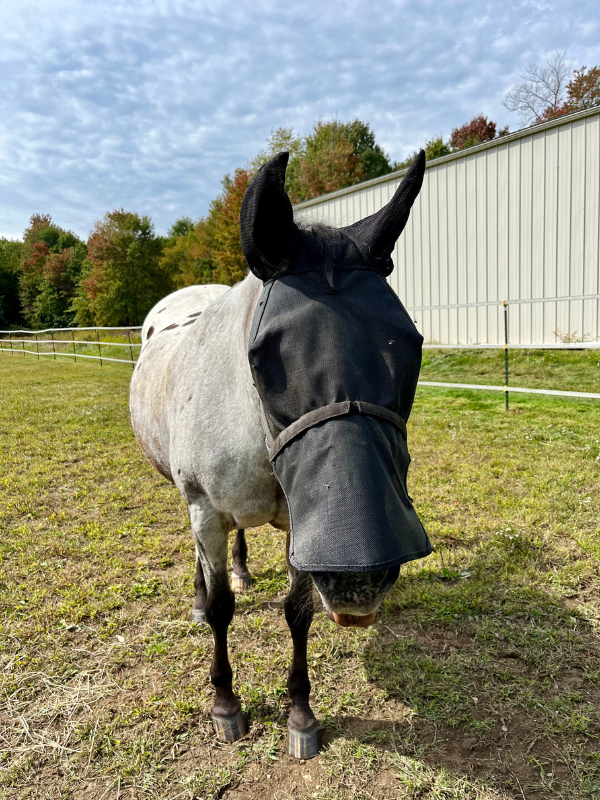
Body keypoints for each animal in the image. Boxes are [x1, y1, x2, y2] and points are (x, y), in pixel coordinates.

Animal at [129, 150, 431, 759]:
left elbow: (298, 610)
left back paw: (243, 567)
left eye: (409, 345)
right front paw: (226, 704)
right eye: (265, 358)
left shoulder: (301, 523)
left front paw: (300, 713)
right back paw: (201, 592)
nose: (360, 582)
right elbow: (222, 610)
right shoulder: (205, 510)